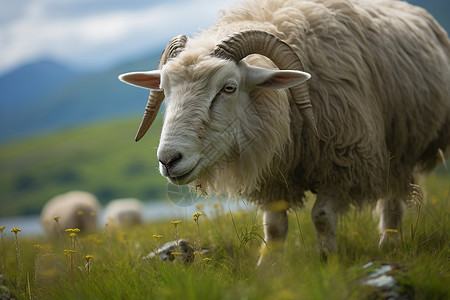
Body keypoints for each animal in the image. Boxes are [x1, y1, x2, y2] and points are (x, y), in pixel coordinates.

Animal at [119, 0, 450, 264]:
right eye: (164, 90)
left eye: (229, 88)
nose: (168, 160)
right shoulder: (273, 178)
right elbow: (275, 227)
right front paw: (268, 271)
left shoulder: (344, 163)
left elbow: (322, 218)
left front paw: (328, 262)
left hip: (401, 147)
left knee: (392, 199)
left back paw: (389, 243)